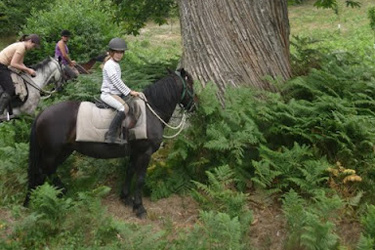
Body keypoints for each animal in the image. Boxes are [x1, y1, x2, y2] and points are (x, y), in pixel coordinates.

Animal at [25, 68, 198, 217]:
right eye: (191, 85)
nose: (195, 106)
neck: (150, 112)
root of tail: (42, 114)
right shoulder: (145, 153)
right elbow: (140, 179)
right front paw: (139, 207)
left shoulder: (135, 152)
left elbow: (130, 171)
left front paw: (126, 198)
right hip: (52, 153)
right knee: (42, 172)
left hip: (63, 151)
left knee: (48, 171)